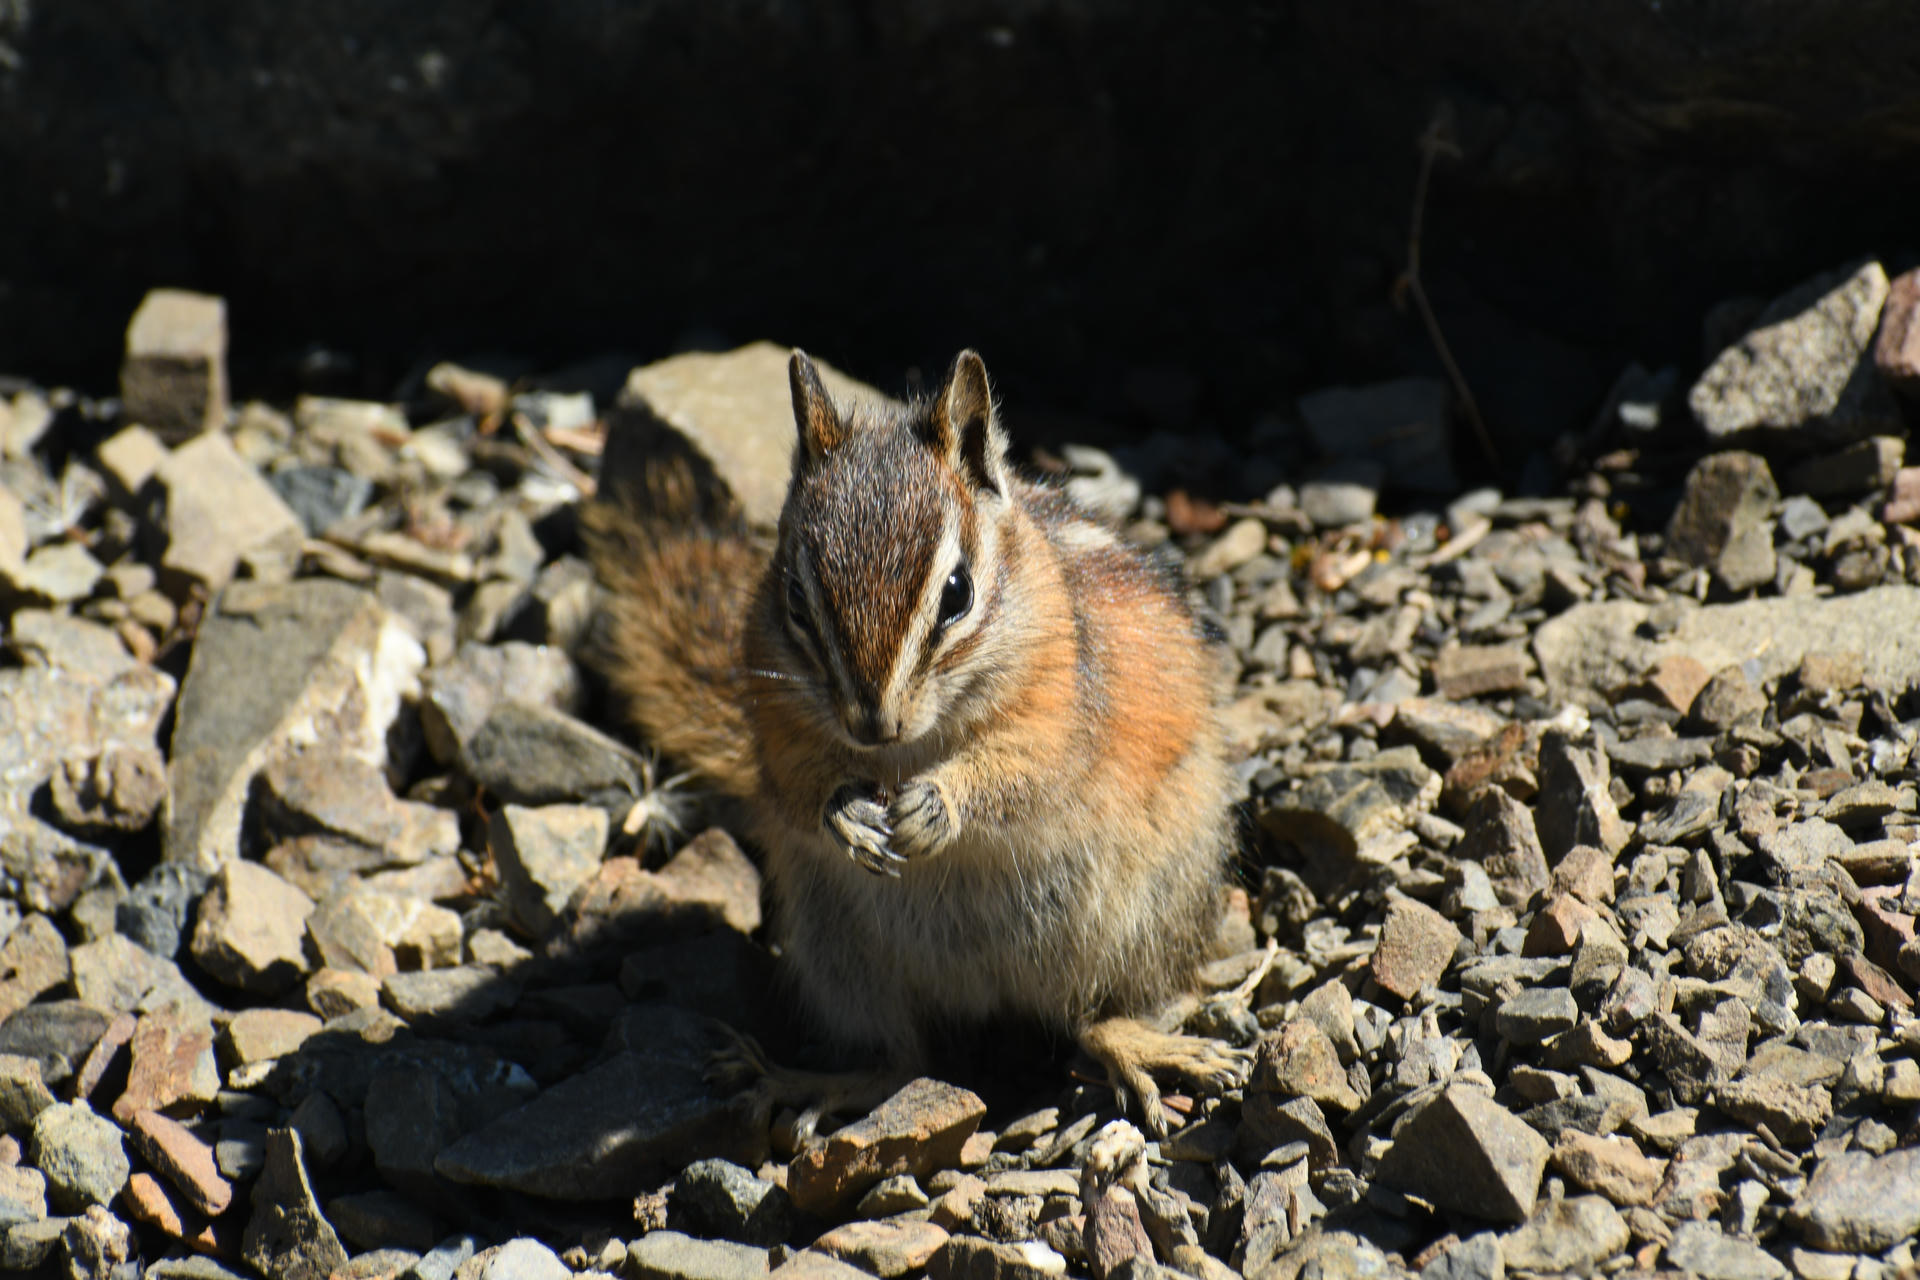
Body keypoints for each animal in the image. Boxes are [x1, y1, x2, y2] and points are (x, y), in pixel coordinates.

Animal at [584, 348, 1241, 1136]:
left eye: (957, 592)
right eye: (795, 599)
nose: (871, 724)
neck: (905, 751)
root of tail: (990, 992)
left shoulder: (1055, 710)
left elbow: (1023, 770)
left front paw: (935, 807)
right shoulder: (776, 719)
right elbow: (797, 783)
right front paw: (847, 815)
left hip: (1138, 915)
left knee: (1090, 1018)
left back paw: (1148, 1046)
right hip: (840, 955)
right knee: (900, 1061)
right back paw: (806, 1081)